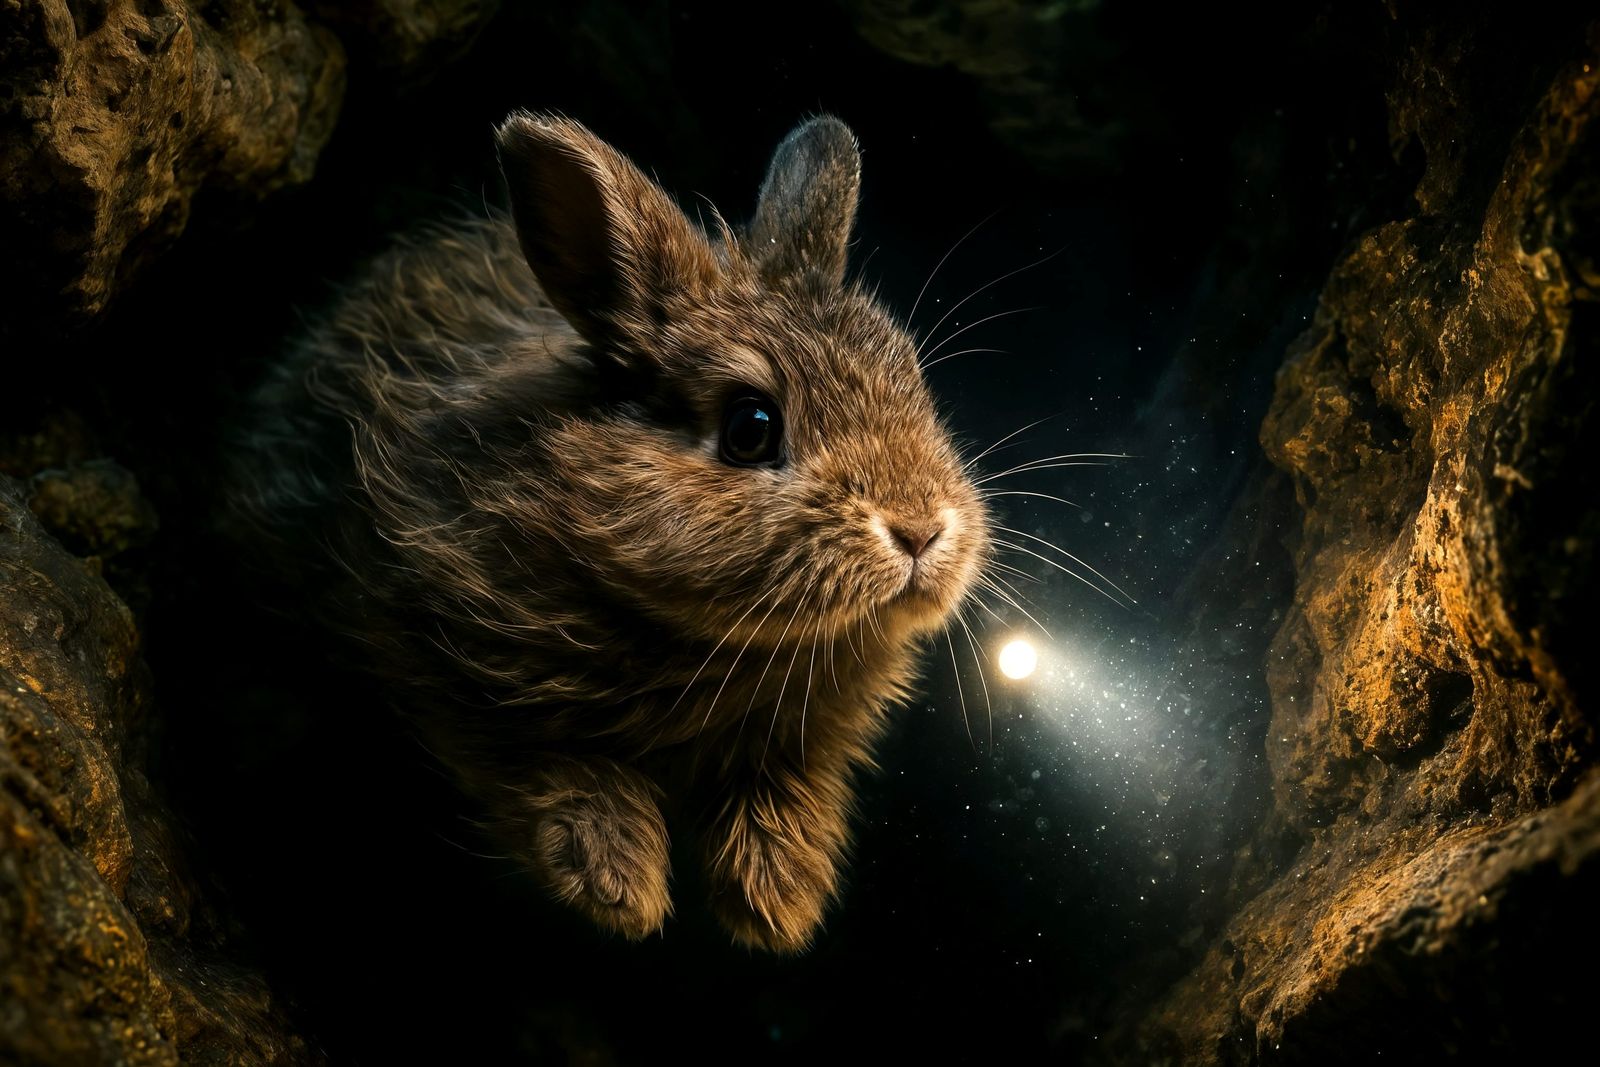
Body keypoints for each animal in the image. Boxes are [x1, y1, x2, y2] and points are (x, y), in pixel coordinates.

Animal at [232, 111, 991, 952]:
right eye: (750, 428)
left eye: (913, 384)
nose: (921, 529)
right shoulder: (442, 644)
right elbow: (544, 762)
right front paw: (617, 884)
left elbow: (783, 790)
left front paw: (778, 902)